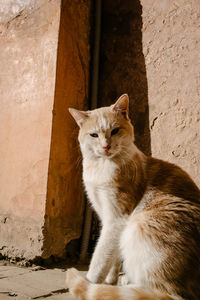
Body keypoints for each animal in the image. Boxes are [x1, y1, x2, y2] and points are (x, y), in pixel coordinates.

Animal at [66, 94, 200, 300]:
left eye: (114, 131)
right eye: (94, 135)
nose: (106, 146)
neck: (100, 167)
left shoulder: (116, 219)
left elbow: (100, 258)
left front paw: (91, 281)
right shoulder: (107, 218)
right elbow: (113, 257)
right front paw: (109, 280)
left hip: (138, 224)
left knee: (162, 292)